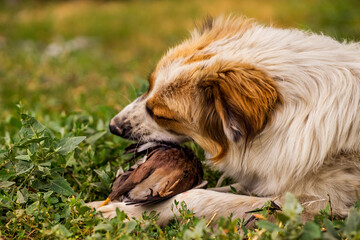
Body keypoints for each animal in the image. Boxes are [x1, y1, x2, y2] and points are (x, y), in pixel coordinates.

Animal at [87, 15, 360, 226]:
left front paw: (127, 213)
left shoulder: (316, 203)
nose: (113, 126)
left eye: (162, 115)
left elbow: (195, 197)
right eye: (148, 86)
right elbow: (211, 190)